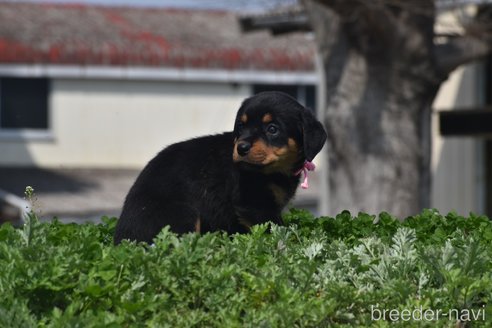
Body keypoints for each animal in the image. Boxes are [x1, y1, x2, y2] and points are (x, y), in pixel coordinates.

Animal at [115, 91, 326, 243]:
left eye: (272, 129)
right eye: (240, 126)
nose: (241, 148)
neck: (273, 172)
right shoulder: (255, 206)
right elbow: (277, 230)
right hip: (183, 214)